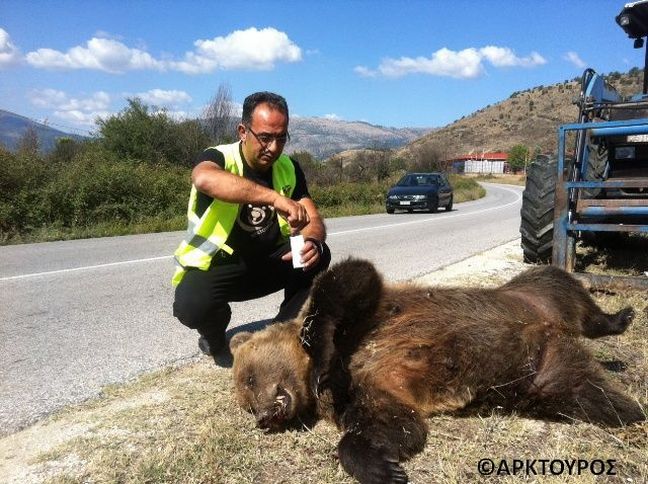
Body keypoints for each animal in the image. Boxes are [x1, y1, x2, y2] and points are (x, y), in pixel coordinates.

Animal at [230, 260, 644, 484]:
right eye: (247, 402)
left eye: (249, 379)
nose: (263, 416)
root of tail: (555, 327)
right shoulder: (370, 387)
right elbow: (395, 424)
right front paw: (384, 467)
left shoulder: (375, 314)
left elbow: (347, 282)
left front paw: (319, 353)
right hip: (543, 370)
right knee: (588, 393)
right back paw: (630, 409)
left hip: (536, 291)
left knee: (569, 290)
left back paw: (620, 318)